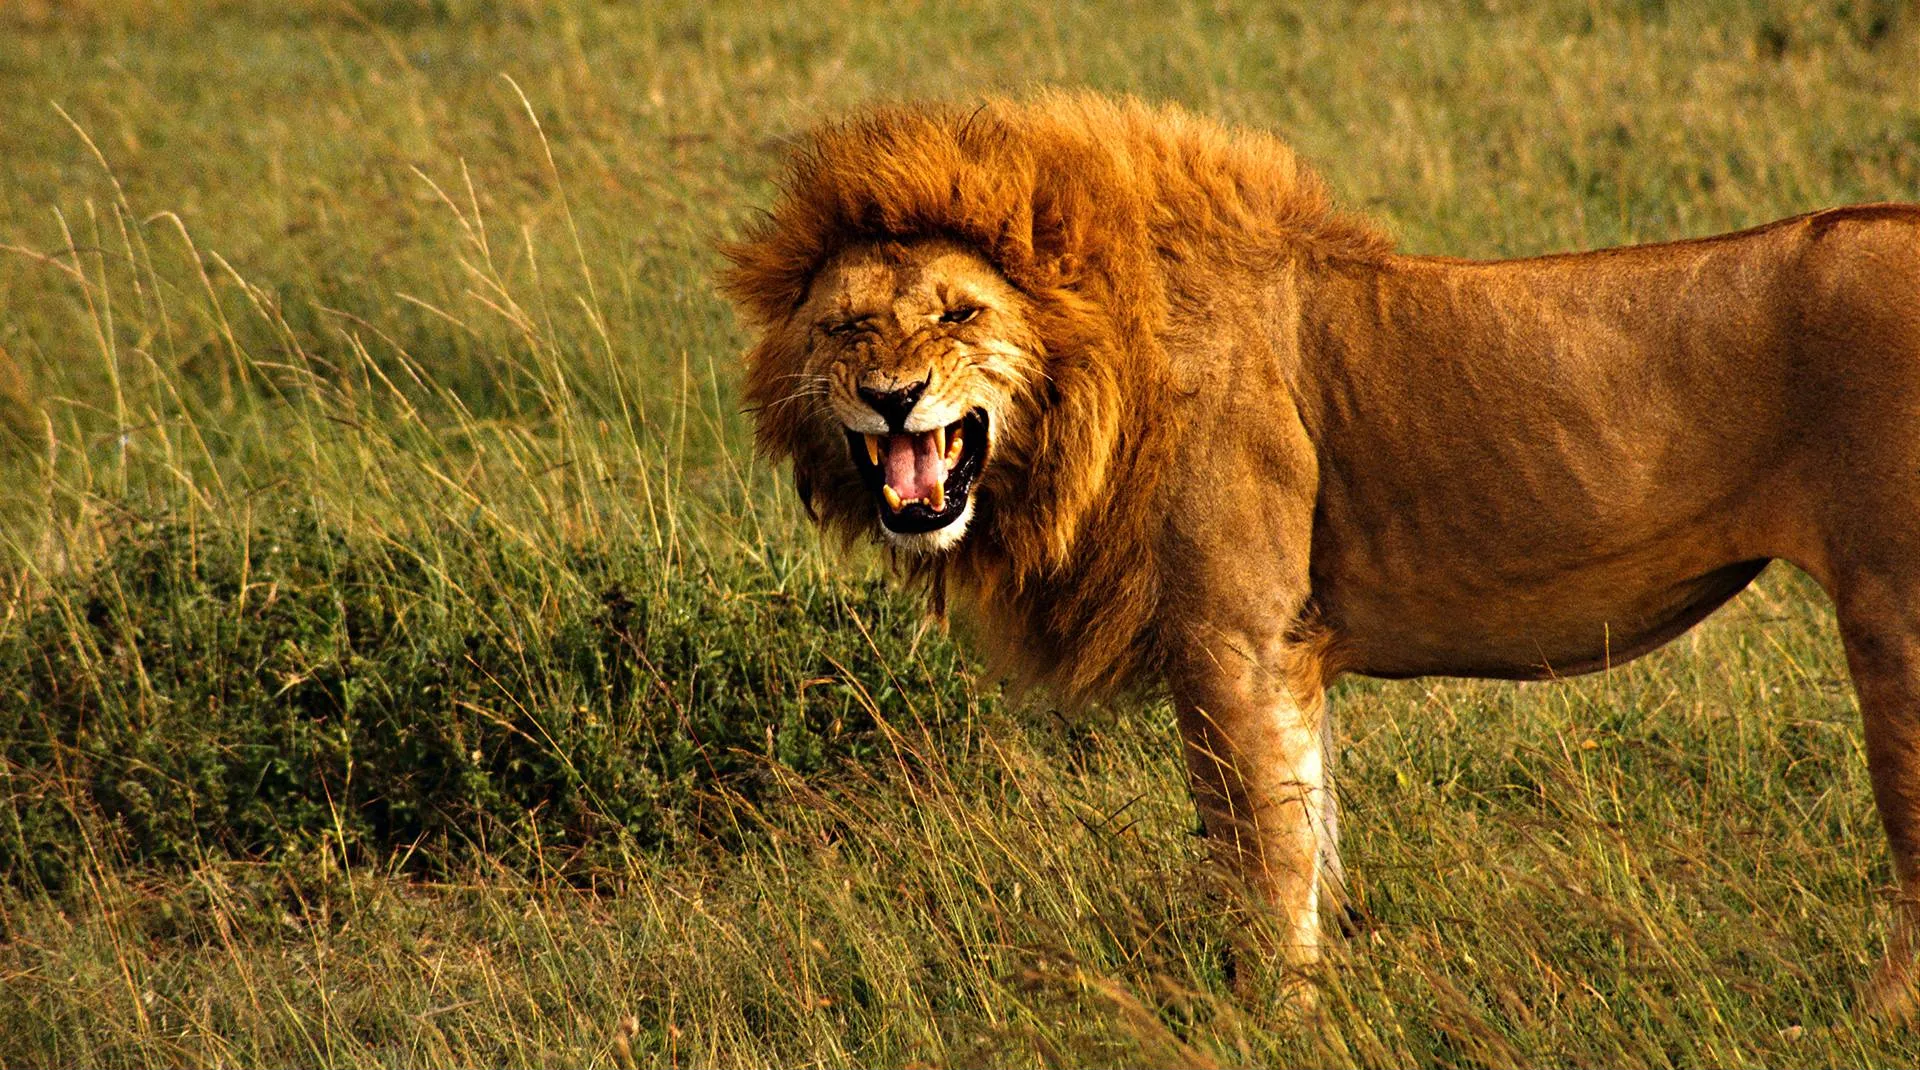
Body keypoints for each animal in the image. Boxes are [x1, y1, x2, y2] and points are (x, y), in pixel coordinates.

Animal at [720, 91, 1920, 1014]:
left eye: (960, 314)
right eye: (848, 329)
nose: (893, 398)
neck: (1093, 389)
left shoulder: (1234, 642)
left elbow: (1261, 857)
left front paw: (1274, 1018)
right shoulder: (1289, 655)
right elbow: (1310, 837)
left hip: (1894, 620)